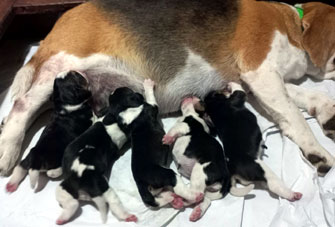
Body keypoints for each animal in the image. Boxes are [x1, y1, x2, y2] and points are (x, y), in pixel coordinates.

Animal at [0, 0, 335, 176]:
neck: (295, 23)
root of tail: (56, 26)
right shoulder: (260, 71)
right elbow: (295, 116)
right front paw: (318, 150)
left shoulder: (254, 84)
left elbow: (303, 99)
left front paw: (326, 111)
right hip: (64, 65)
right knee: (21, 106)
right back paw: (7, 149)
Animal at [111, 79, 203, 209]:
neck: (125, 110)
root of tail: (140, 182)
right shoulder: (152, 106)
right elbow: (151, 97)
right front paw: (148, 85)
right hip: (165, 174)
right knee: (177, 187)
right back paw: (195, 196)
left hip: (157, 188)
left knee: (159, 197)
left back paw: (174, 200)